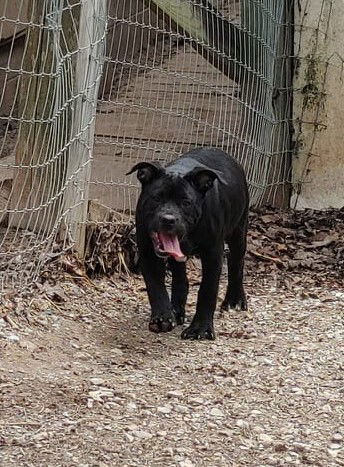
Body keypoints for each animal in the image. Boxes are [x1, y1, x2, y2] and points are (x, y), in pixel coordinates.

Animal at [127, 148, 249, 342]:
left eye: (186, 203)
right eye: (156, 198)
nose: (168, 219)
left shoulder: (213, 255)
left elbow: (207, 290)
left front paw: (200, 329)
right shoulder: (147, 250)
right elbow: (155, 286)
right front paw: (162, 317)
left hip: (239, 231)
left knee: (237, 263)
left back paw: (234, 300)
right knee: (180, 278)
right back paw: (176, 311)